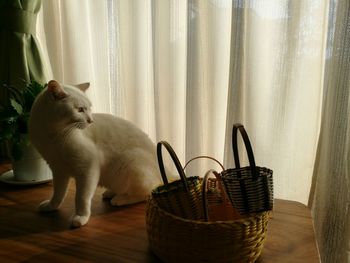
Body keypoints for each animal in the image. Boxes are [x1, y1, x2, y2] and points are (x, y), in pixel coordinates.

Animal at [28, 79, 163, 228]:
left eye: (89, 108)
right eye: (80, 110)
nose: (91, 120)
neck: (54, 136)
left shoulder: (87, 168)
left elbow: (81, 197)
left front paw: (80, 217)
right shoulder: (58, 170)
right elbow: (58, 193)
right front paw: (51, 206)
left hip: (130, 162)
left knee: (148, 191)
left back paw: (119, 199)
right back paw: (110, 193)